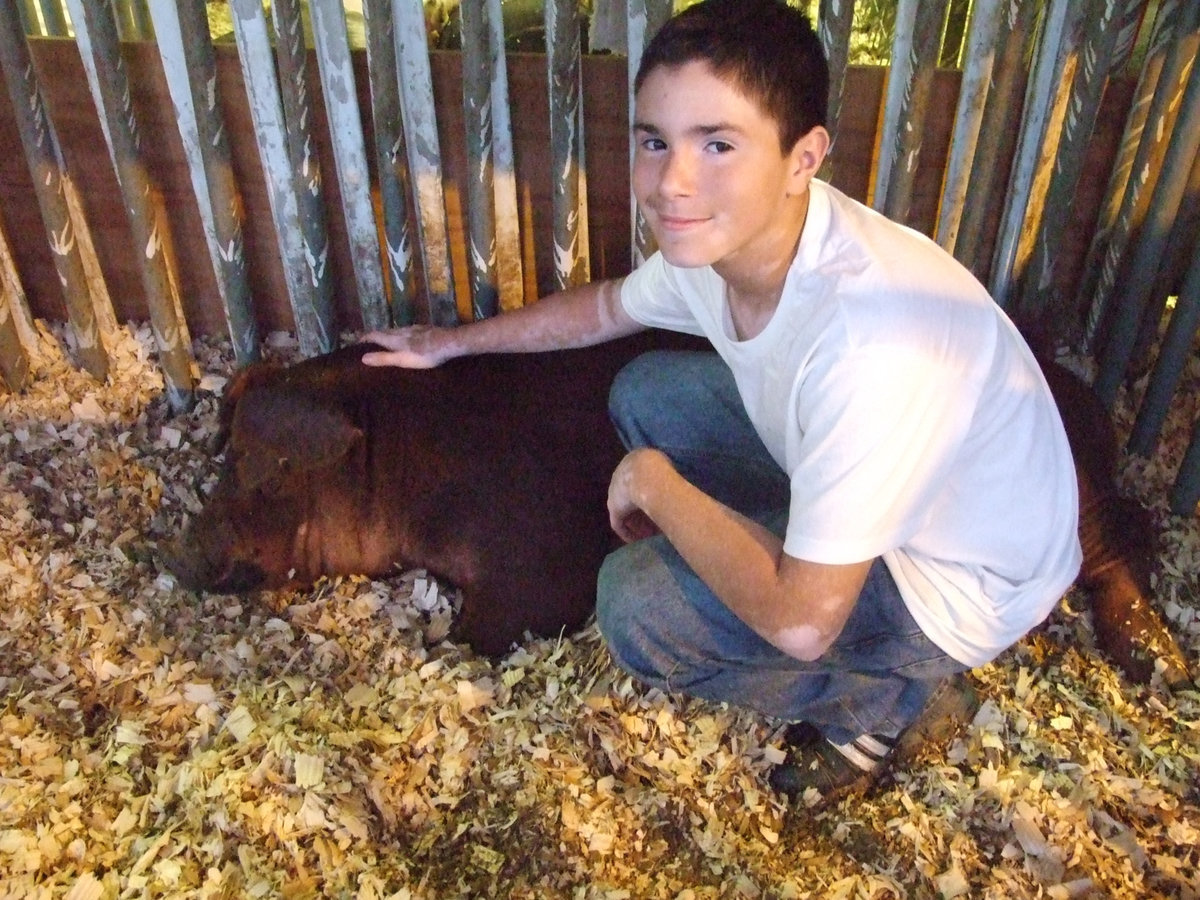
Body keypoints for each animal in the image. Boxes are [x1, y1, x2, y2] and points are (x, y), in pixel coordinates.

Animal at [164, 340, 1195, 691]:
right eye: (224, 454)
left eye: (267, 467)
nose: (178, 552)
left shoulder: (534, 560)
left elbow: (484, 630)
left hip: (1069, 512)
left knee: (1123, 547)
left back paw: (1157, 664)